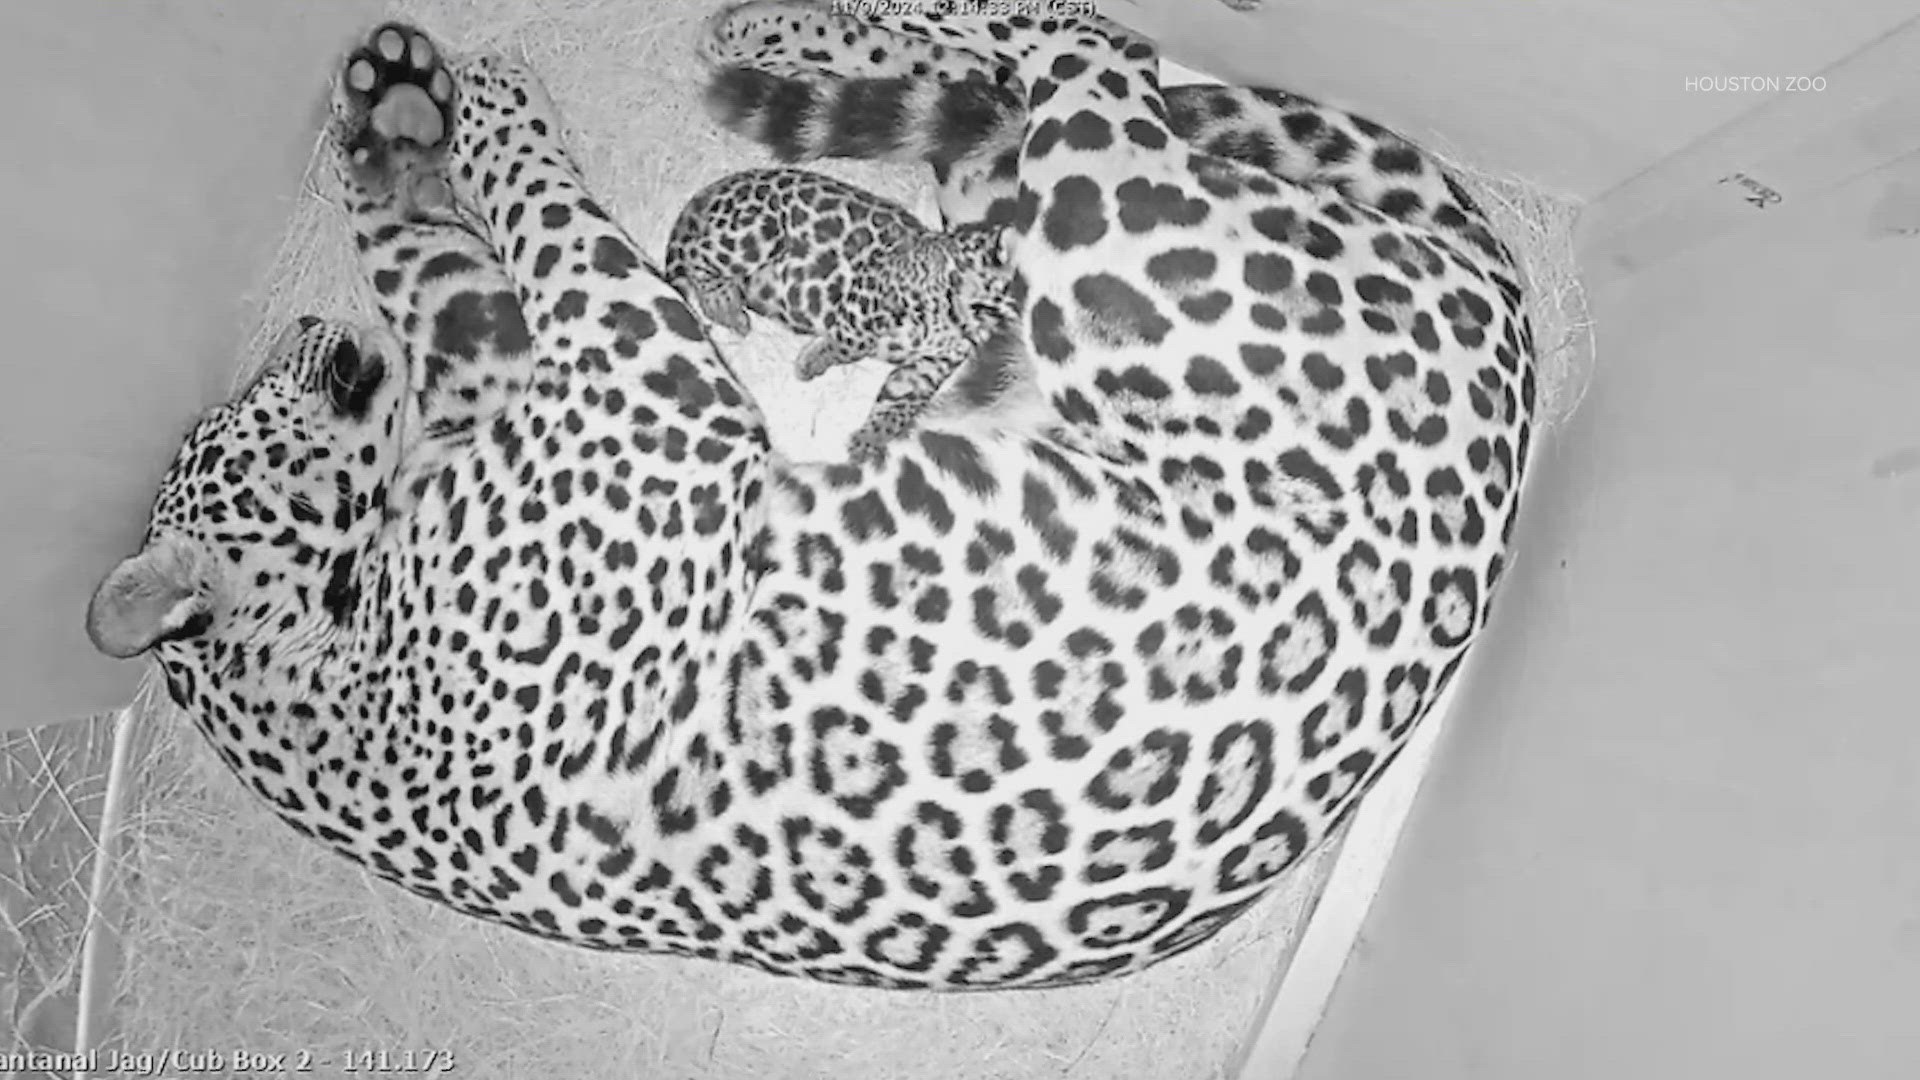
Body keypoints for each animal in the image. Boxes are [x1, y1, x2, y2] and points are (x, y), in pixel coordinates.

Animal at [663, 166, 1016, 461]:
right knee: (699, 254)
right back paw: (724, 304)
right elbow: (853, 341)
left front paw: (869, 440)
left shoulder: (927, 365)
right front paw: (811, 362)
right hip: (757, 232)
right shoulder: (877, 285)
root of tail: (723, 185)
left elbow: (901, 403)